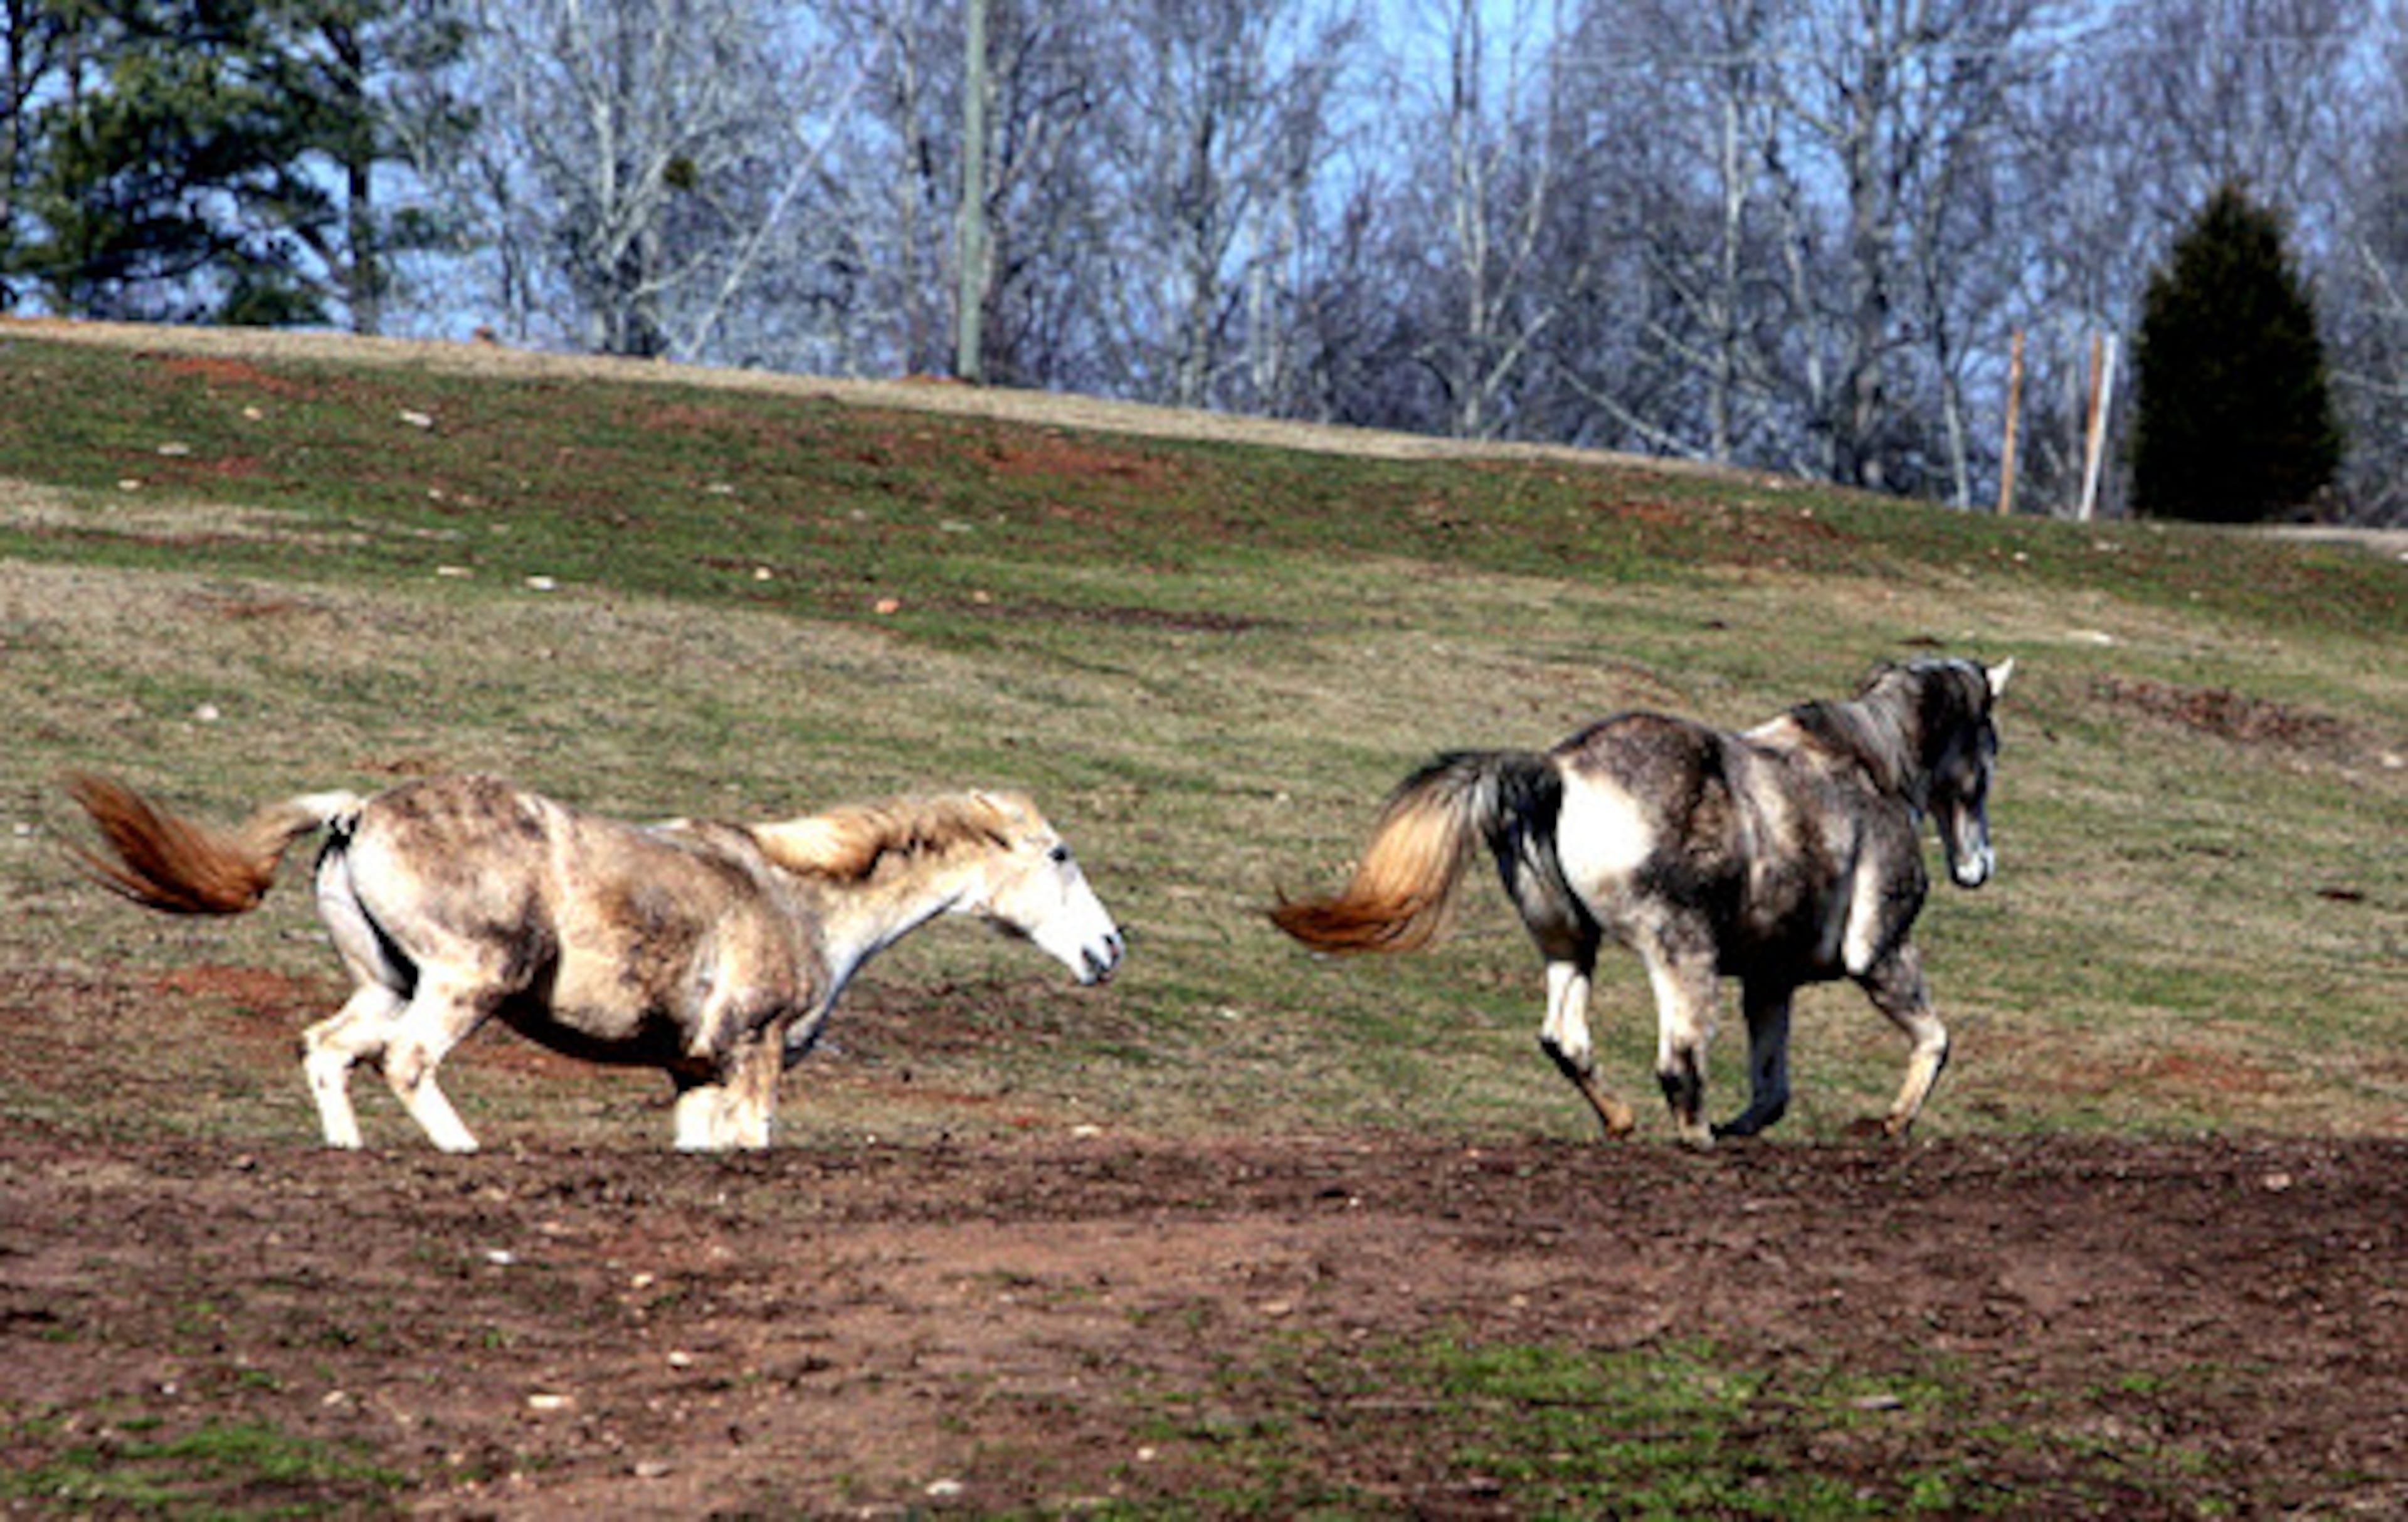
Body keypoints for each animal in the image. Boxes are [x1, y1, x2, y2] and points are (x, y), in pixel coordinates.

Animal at [64, 771, 1125, 1152]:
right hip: (465, 981)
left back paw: (348, 1149)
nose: (1108, 947)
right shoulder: (753, 1051)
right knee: (407, 1061)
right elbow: (757, 1139)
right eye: (1061, 853)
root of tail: (357, 808)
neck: (798, 896)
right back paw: (463, 1147)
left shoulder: (694, 1071)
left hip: (386, 982)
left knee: (327, 1048)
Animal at [1270, 657, 2013, 1146]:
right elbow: (1935, 1039)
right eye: (1991, 749)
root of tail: (1559, 769)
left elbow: (1772, 1088)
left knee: (1565, 1038)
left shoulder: (1770, 980)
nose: (1979, 866)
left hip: (1570, 944)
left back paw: (1622, 1120)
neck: (1870, 770)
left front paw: (1745, 1127)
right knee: (1678, 1059)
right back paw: (1695, 1140)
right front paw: (1894, 1120)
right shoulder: (1879, 952)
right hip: (1682, 950)